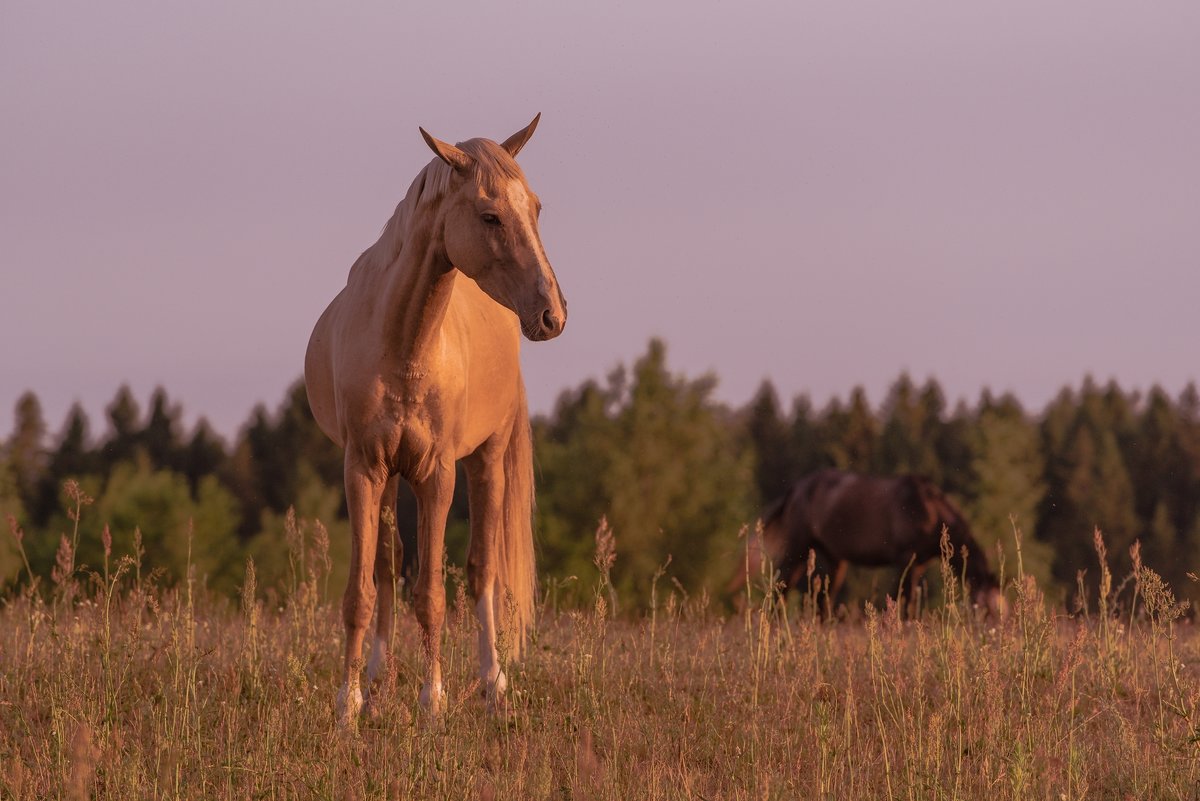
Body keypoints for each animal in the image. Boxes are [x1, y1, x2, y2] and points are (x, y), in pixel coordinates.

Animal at [304, 112, 566, 719]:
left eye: (536, 207)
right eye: (490, 215)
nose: (553, 315)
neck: (406, 345)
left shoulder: (438, 473)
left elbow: (432, 594)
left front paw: (434, 701)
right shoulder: (363, 468)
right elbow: (362, 590)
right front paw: (348, 704)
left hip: (486, 460)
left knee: (482, 570)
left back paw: (493, 683)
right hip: (389, 480)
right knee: (386, 564)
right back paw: (378, 674)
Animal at [729, 470, 1003, 613]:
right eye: (985, 609)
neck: (929, 512)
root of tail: (796, 489)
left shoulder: (919, 564)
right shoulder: (906, 561)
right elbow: (904, 600)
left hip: (834, 559)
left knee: (824, 599)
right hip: (799, 548)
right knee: (783, 584)